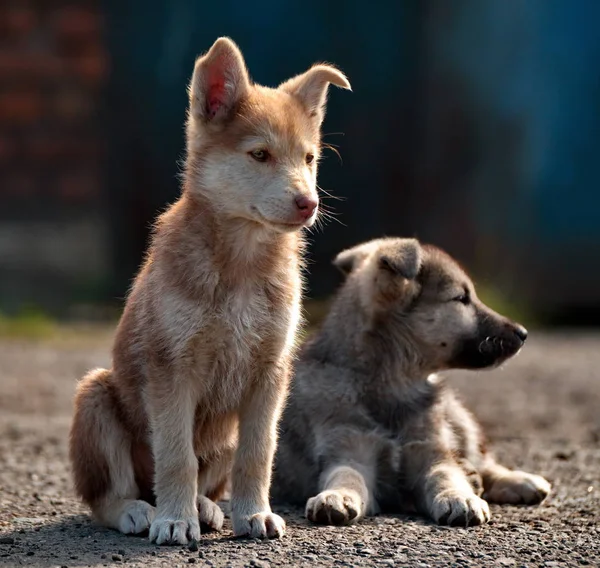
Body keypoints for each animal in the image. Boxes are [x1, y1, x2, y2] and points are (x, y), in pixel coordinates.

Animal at [69, 37, 352, 544]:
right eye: (259, 155)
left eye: (309, 159)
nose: (310, 203)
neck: (240, 264)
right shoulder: (171, 370)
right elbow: (176, 455)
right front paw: (174, 520)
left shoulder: (269, 373)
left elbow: (258, 455)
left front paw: (254, 514)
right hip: (96, 395)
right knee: (107, 495)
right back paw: (139, 510)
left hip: (222, 434)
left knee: (212, 475)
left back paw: (205, 506)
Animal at [274, 237, 552, 524]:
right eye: (461, 298)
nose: (523, 333)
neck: (393, 383)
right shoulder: (350, 449)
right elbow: (347, 475)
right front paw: (336, 496)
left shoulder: (431, 451)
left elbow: (445, 475)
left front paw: (459, 497)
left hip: (458, 418)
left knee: (483, 461)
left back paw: (518, 481)